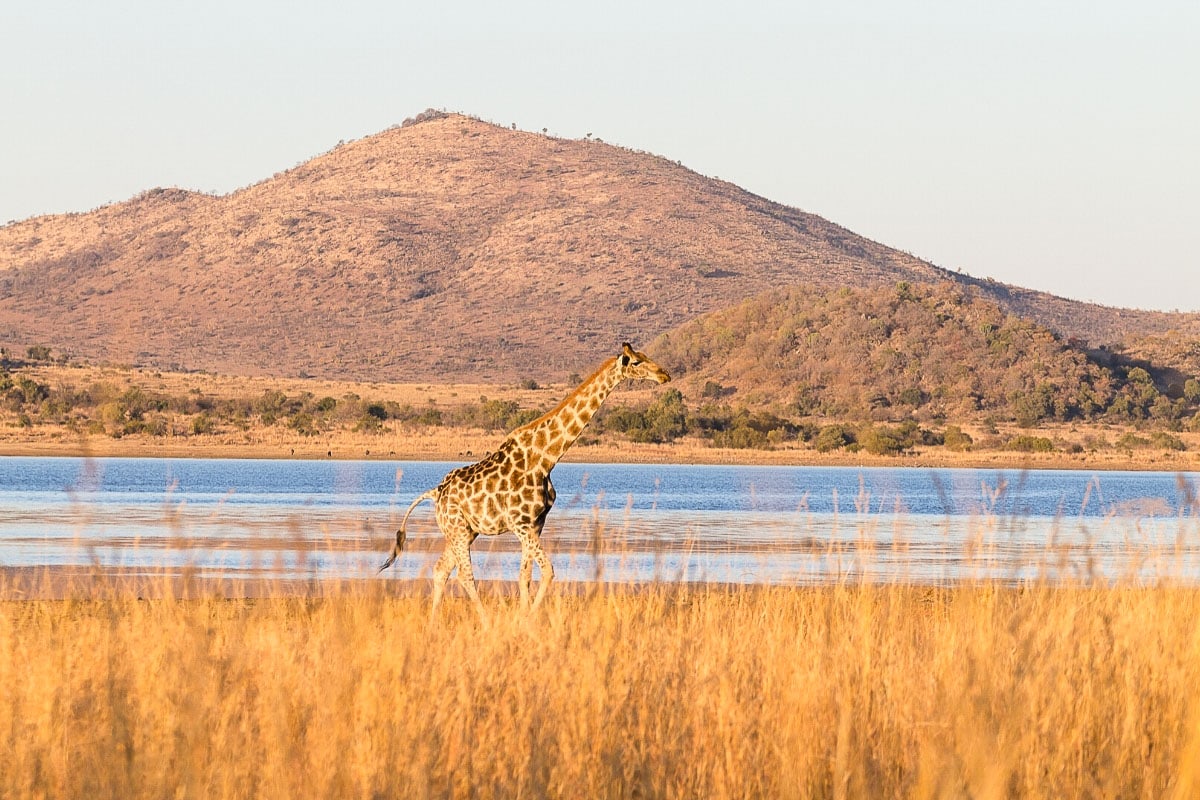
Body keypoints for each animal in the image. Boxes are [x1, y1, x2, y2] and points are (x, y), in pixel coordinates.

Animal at [379, 345, 672, 618]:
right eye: (636, 362)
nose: (665, 375)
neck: (545, 457)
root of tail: (435, 492)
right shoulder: (520, 524)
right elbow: (548, 571)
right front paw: (528, 619)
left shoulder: (535, 525)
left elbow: (524, 577)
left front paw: (524, 619)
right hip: (459, 530)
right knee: (464, 575)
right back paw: (485, 623)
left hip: (464, 531)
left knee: (441, 569)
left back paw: (433, 623)